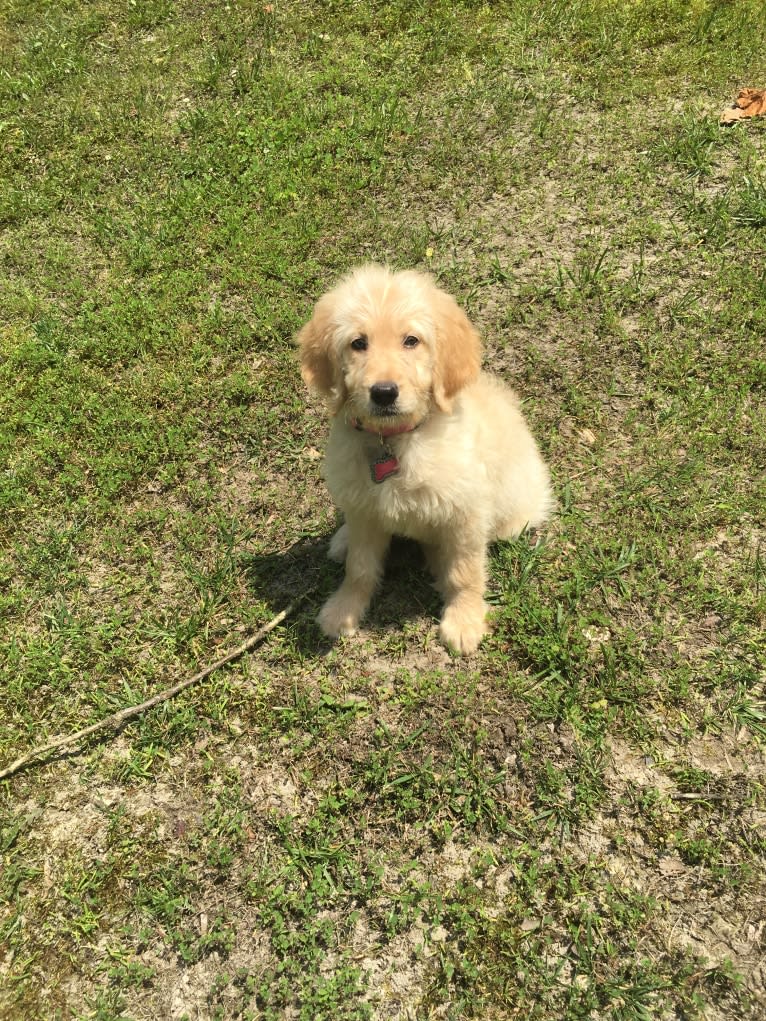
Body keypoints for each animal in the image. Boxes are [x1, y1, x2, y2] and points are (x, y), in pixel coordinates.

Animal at [296, 265, 555, 653]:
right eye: (358, 343)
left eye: (411, 341)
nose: (384, 393)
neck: (396, 440)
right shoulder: (365, 509)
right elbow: (360, 567)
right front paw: (344, 608)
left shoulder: (467, 512)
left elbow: (465, 570)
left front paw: (464, 618)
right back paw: (342, 540)